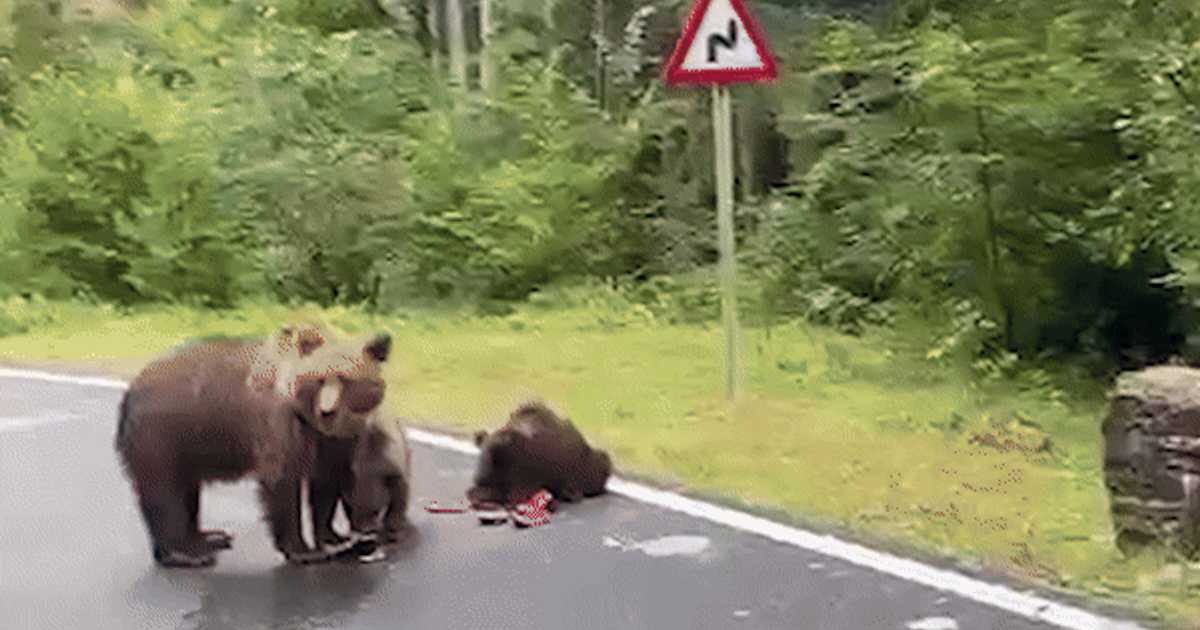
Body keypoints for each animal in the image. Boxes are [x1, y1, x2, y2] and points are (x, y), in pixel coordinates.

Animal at [114, 325, 392, 568]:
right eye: (320, 379)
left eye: (346, 379)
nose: (327, 411)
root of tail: (130, 394)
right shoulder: (278, 423)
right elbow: (281, 480)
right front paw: (303, 550)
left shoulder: (333, 440)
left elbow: (328, 480)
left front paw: (333, 535)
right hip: (162, 435)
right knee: (165, 493)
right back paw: (187, 554)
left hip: (186, 443)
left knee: (188, 492)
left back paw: (208, 538)